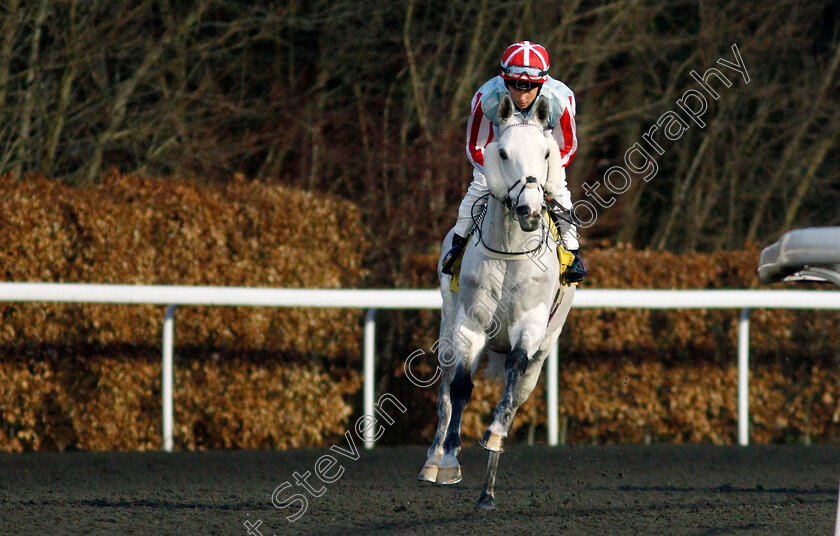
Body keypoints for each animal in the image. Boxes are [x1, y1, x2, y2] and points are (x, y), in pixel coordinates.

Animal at [418, 93, 576, 510]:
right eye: (502, 152)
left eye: (546, 152)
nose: (530, 210)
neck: (510, 253)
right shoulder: (469, 324)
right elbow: (460, 388)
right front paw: (449, 461)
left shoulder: (531, 325)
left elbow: (513, 374)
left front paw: (493, 435)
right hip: (447, 328)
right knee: (445, 391)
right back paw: (434, 461)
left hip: (543, 353)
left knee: (517, 391)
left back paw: (487, 490)